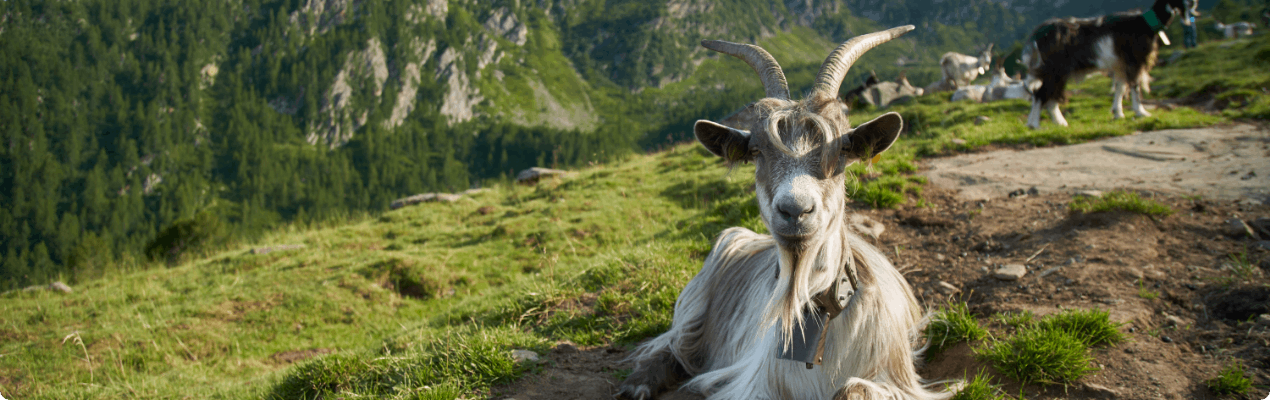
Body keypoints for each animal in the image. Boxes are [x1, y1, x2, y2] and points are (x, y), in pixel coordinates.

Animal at [617, 26, 954, 400]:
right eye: (756, 150)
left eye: (842, 150)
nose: (795, 210)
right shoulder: (754, 384)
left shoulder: (897, 380)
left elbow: (852, 389)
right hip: (695, 304)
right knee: (670, 346)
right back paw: (638, 384)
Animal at [1022, 0, 1185, 129]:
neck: (1144, 23)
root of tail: (1037, 36)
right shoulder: (1134, 61)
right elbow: (1135, 85)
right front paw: (1141, 112)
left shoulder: (1120, 65)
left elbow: (1120, 87)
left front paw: (1118, 113)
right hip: (1056, 70)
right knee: (1043, 94)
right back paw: (1036, 124)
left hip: (1054, 71)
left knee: (1047, 95)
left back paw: (1056, 123)